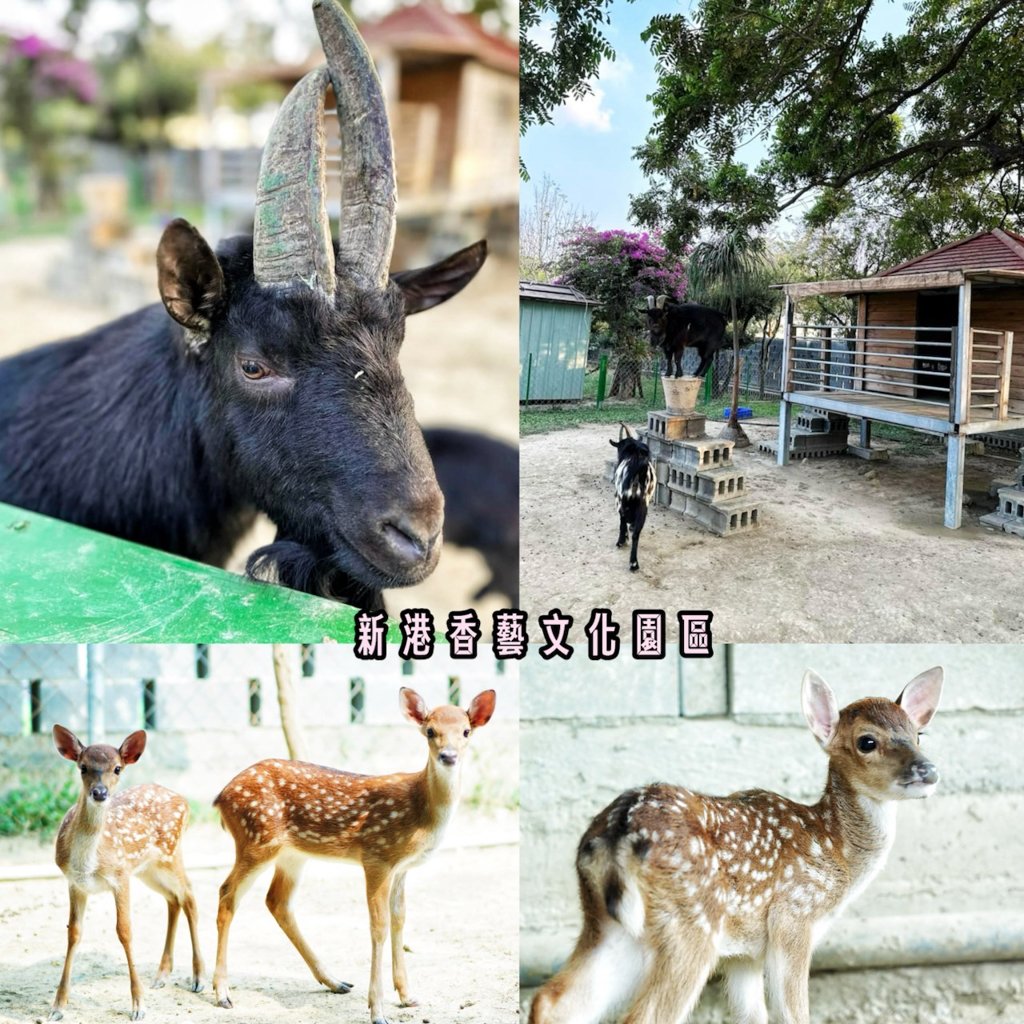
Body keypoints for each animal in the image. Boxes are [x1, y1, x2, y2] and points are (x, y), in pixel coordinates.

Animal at [606, 421, 655, 573]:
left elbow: (622, 523)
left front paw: (622, 540)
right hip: (643, 506)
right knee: (636, 533)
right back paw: (634, 563)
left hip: (621, 501)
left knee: (624, 522)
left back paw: (625, 548)